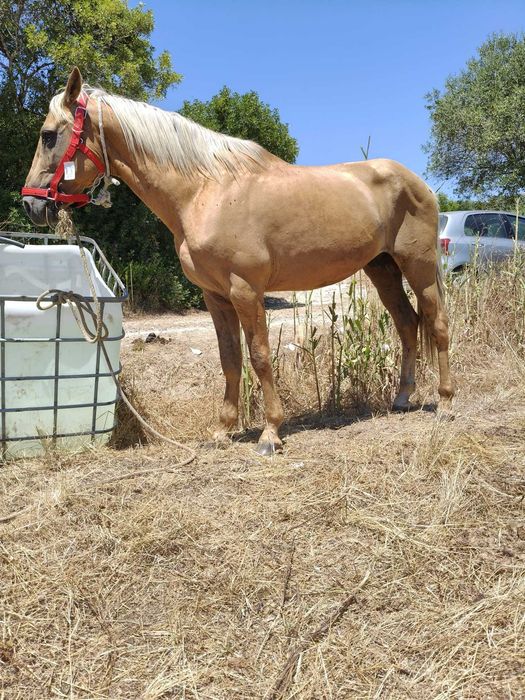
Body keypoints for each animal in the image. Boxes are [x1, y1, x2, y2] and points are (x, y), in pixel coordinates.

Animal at [22, 67, 454, 455]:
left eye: (48, 135)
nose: (31, 204)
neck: (204, 190)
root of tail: (417, 182)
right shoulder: (215, 295)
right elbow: (229, 357)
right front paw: (222, 430)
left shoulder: (246, 290)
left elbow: (259, 356)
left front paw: (270, 433)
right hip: (382, 269)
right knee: (406, 324)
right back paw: (402, 398)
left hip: (418, 268)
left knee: (436, 324)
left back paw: (446, 403)